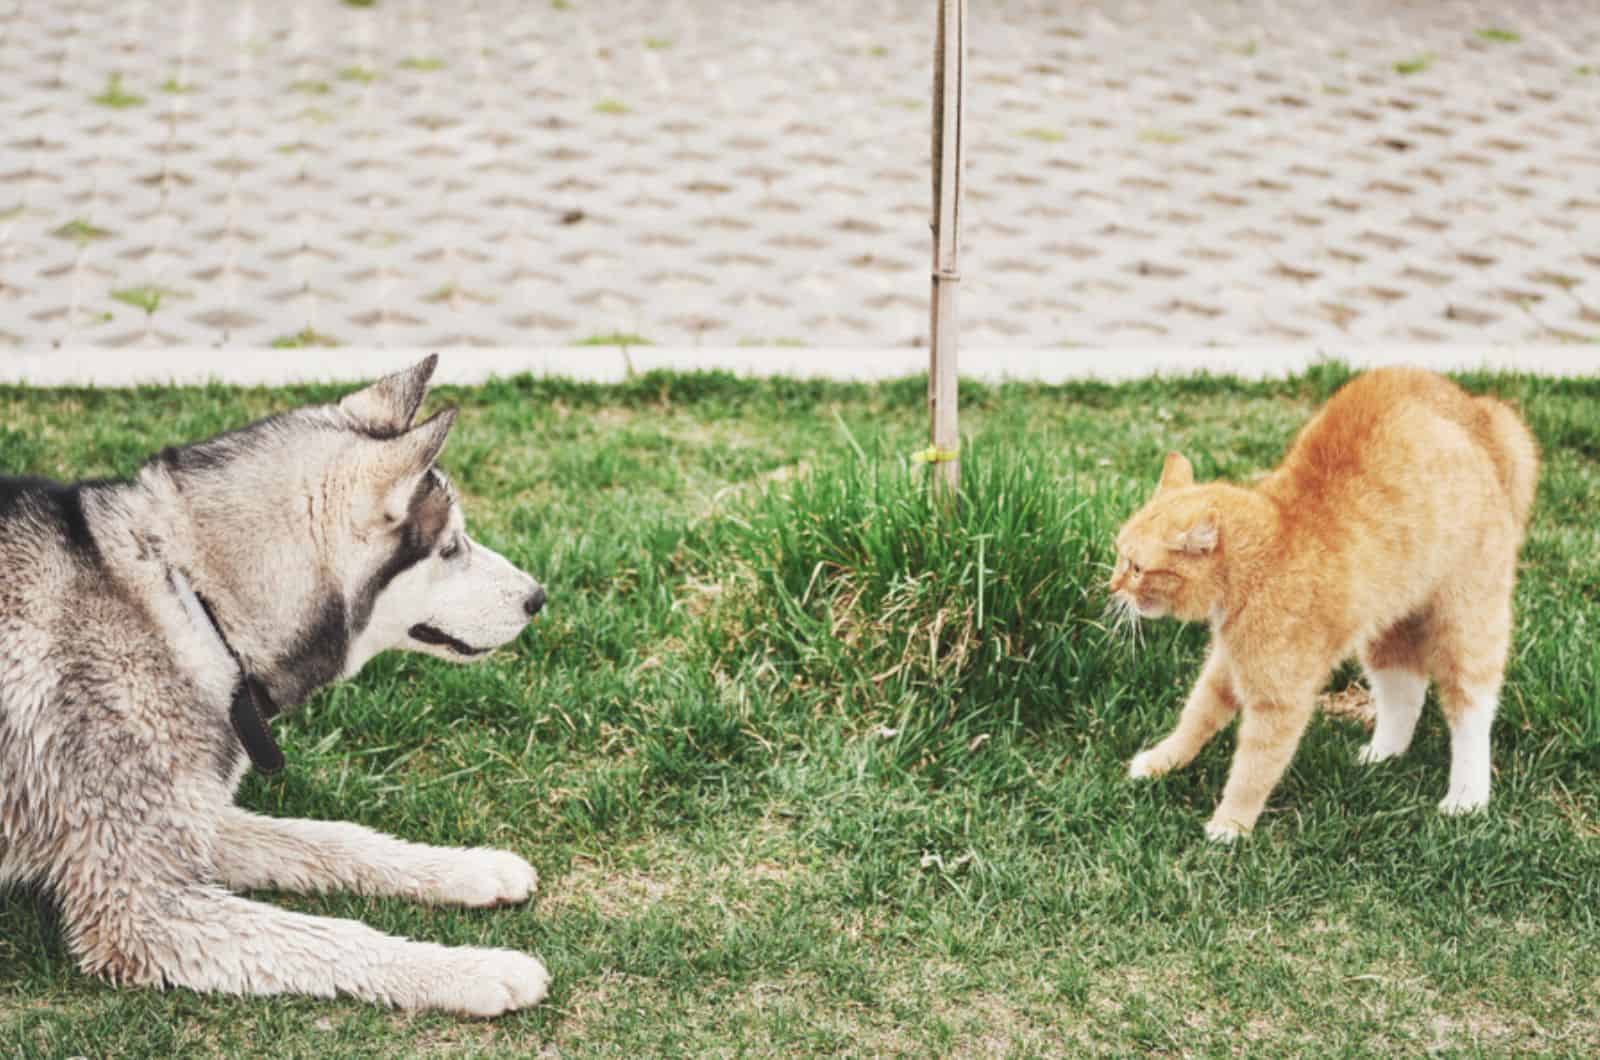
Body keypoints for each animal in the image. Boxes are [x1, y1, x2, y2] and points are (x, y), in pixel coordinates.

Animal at [0, 358, 553, 1024]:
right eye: (450, 548)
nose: (538, 596)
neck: (193, 603)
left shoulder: (194, 819)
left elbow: (335, 839)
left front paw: (468, 868)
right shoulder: (138, 909)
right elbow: (335, 938)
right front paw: (475, 969)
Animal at [1113, 369, 1536, 845]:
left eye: (1136, 568)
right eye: (1119, 555)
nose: (1112, 587)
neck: (1270, 551)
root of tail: (1480, 412)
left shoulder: (1279, 701)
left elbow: (1253, 769)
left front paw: (1230, 825)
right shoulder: (1226, 668)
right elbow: (1195, 717)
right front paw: (1161, 761)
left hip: (1467, 622)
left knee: (1471, 710)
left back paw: (1466, 798)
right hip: (1390, 625)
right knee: (1405, 690)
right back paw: (1383, 754)